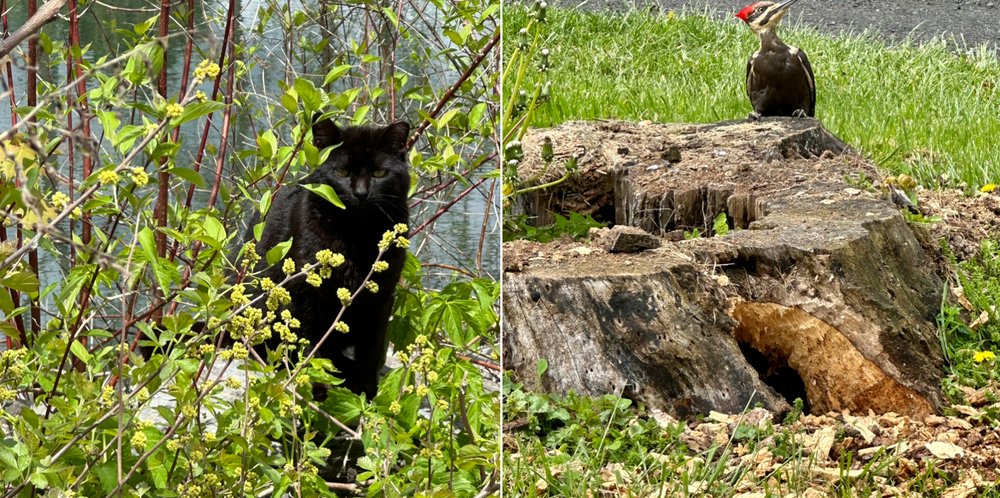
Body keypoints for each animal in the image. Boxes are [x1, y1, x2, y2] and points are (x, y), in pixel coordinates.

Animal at [254, 118, 410, 398]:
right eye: (342, 173)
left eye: (379, 174)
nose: (360, 193)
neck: (358, 236)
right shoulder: (306, 295)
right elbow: (313, 346)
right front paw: (318, 388)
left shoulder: (382, 296)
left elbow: (372, 348)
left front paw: (366, 392)